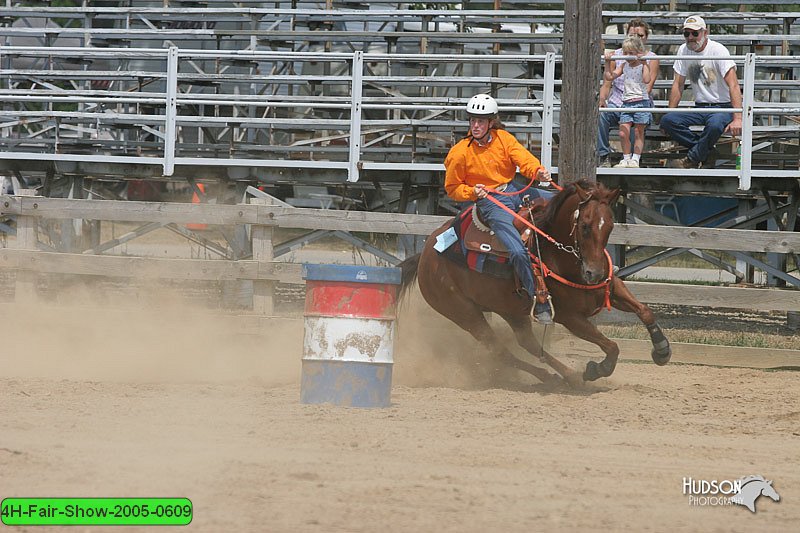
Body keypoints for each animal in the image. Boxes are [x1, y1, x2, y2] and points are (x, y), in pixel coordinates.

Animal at [398, 180, 668, 386]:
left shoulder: (610, 288)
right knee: (500, 351)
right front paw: (597, 369)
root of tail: (425, 256)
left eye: (610, 226)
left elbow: (645, 310)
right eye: (584, 226)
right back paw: (560, 376)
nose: (595, 273)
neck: (559, 253)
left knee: (526, 342)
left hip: (510, 310)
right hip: (465, 314)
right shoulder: (569, 316)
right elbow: (611, 346)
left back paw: (565, 374)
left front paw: (662, 350)